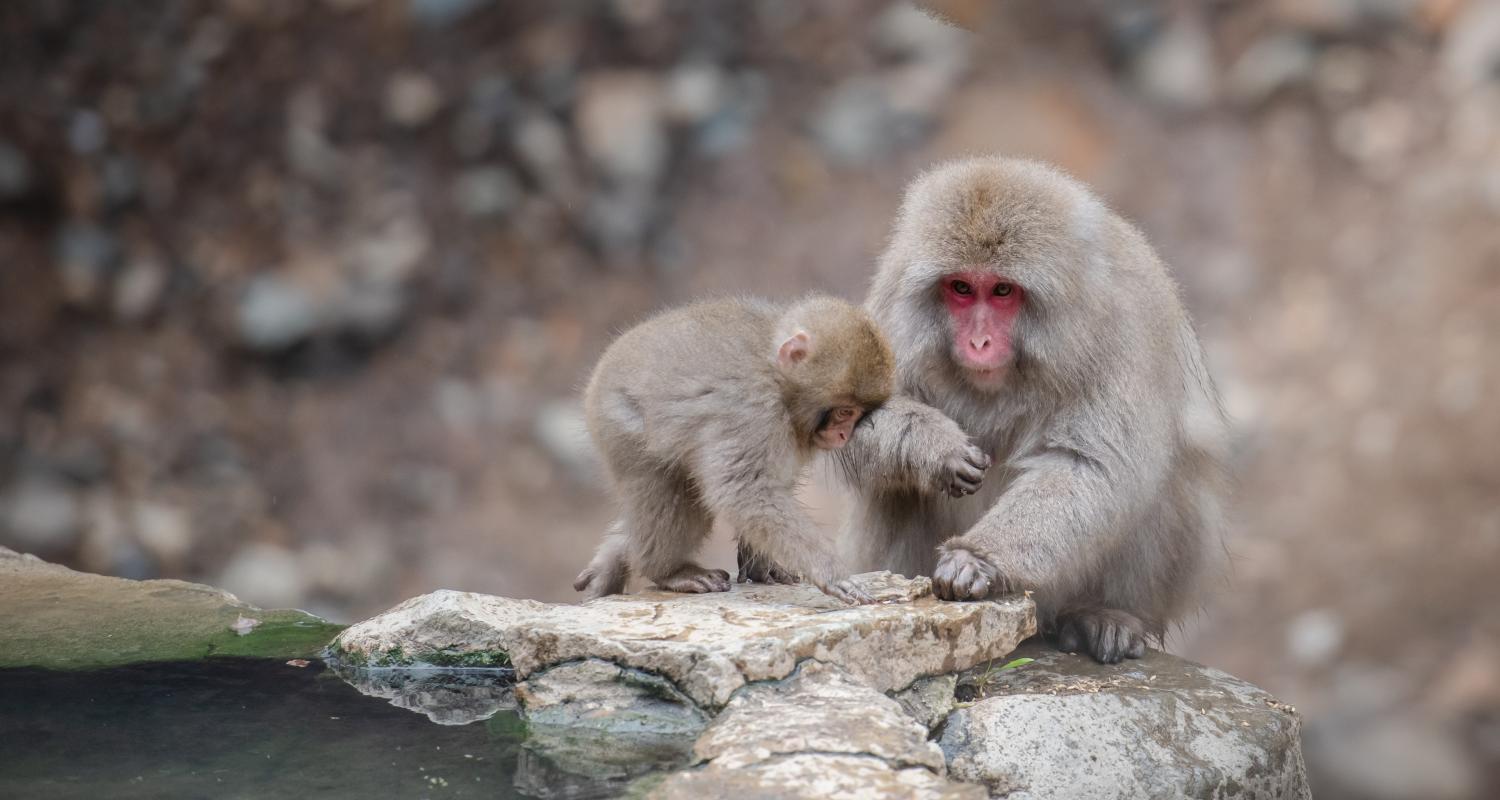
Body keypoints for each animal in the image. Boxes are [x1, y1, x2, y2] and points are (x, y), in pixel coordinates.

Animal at [572, 295, 896, 605]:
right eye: (844, 411)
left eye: (857, 415)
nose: (843, 434)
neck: (778, 379)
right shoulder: (752, 408)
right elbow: (745, 492)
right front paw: (829, 571)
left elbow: (768, 490)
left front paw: (761, 564)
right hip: (621, 426)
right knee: (673, 496)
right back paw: (669, 571)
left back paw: (613, 557)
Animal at [832, 156, 1229, 663]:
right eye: (961, 288)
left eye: (1003, 291)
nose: (979, 342)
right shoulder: (892, 303)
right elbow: (845, 421)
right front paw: (936, 448)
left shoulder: (1121, 329)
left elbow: (1090, 465)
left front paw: (975, 559)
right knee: (894, 488)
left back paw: (1104, 614)